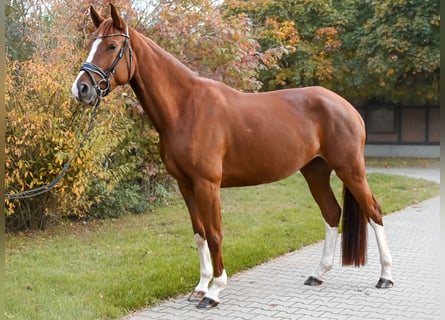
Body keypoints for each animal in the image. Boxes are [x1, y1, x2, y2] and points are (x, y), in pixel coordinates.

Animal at [71, 5, 394, 308]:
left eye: (112, 46)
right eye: (91, 42)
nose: (81, 88)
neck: (186, 107)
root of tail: (346, 106)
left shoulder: (207, 184)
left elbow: (215, 234)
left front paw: (214, 292)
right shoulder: (186, 185)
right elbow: (199, 233)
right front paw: (201, 287)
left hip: (350, 169)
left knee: (374, 211)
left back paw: (385, 277)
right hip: (315, 171)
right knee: (331, 213)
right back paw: (317, 274)